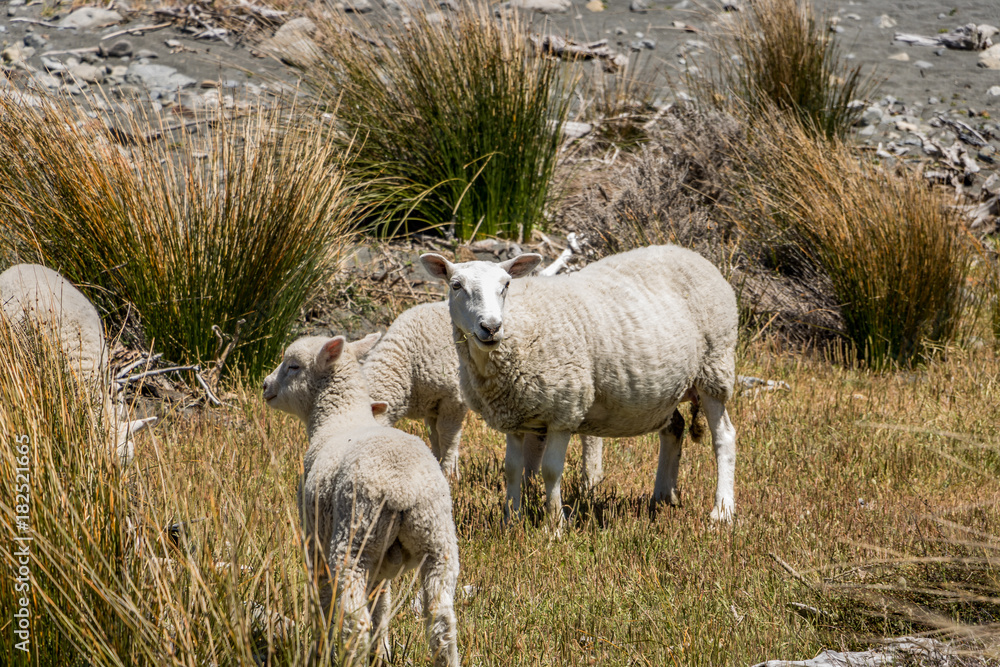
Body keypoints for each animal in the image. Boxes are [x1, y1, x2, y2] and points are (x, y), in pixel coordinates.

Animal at [262, 333, 460, 666]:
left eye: (293, 366)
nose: (265, 386)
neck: (338, 419)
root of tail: (403, 489)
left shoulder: (315, 539)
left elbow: (324, 599)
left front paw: (319, 647)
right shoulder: (382, 567)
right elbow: (382, 606)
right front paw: (382, 652)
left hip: (354, 538)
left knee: (356, 621)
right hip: (437, 540)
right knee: (441, 619)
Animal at [360, 299, 605, 486]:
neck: (406, 363)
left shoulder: (453, 397)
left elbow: (447, 436)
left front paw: (449, 474)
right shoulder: (431, 405)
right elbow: (434, 438)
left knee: (590, 435)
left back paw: (591, 479)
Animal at [419, 244, 738, 528]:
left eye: (506, 285)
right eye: (456, 285)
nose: (491, 327)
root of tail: (691, 254)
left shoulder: (564, 409)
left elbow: (550, 471)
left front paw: (555, 525)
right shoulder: (514, 414)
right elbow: (511, 470)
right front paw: (511, 522)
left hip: (715, 366)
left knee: (724, 437)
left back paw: (722, 511)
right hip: (667, 388)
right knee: (674, 428)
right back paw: (662, 497)